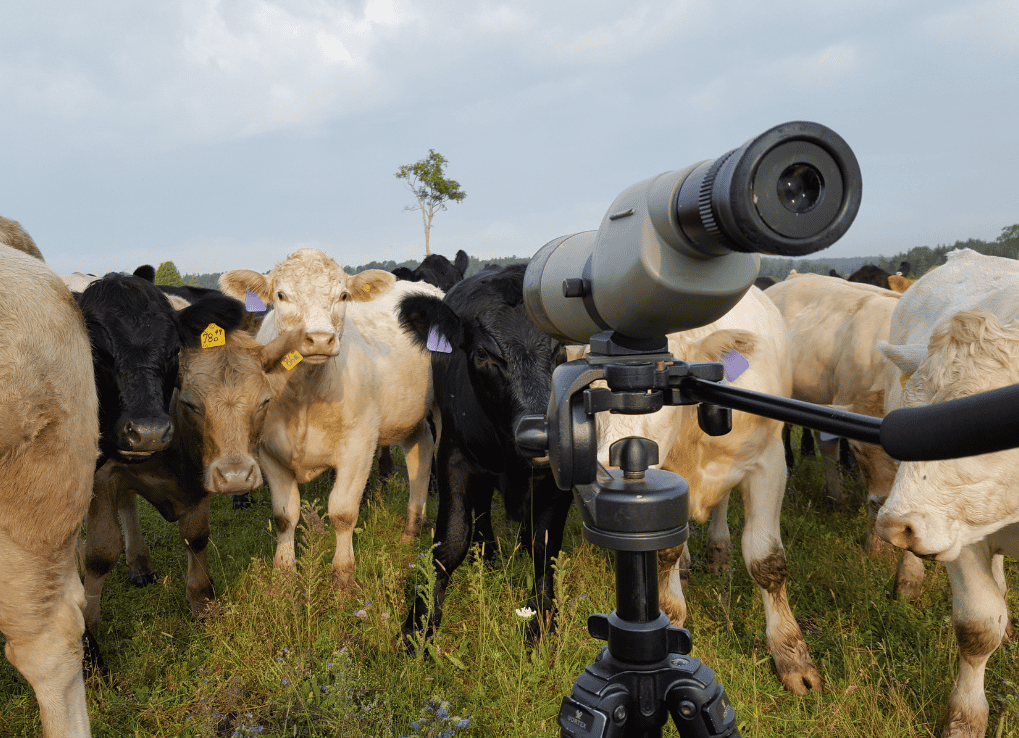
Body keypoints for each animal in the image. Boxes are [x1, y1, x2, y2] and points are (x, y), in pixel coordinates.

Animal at [82, 314, 305, 662]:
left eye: (265, 401)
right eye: (190, 404)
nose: (236, 476)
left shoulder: (199, 480)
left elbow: (196, 537)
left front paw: (202, 601)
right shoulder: (105, 474)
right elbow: (100, 553)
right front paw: (88, 640)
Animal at [219, 249, 441, 589]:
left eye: (343, 295)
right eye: (281, 295)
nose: (320, 339)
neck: (305, 394)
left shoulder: (359, 446)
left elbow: (342, 512)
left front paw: (344, 576)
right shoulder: (268, 451)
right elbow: (284, 515)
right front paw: (283, 574)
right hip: (409, 414)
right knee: (420, 452)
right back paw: (411, 529)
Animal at [396, 264, 569, 644]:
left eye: (560, 349)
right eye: (482, 355)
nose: (540, 434)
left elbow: (544, 545)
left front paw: (542, 619)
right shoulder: (453, 455)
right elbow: (450, 541)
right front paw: (420, 622)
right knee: (482, 509)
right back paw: (488, 550)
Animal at [591, 286, 823, 694]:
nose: (608, 467)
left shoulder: (768, 462)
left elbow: (767, 559)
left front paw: (792, 655)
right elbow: (663, 554)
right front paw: (670, 618)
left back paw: (717, 552)